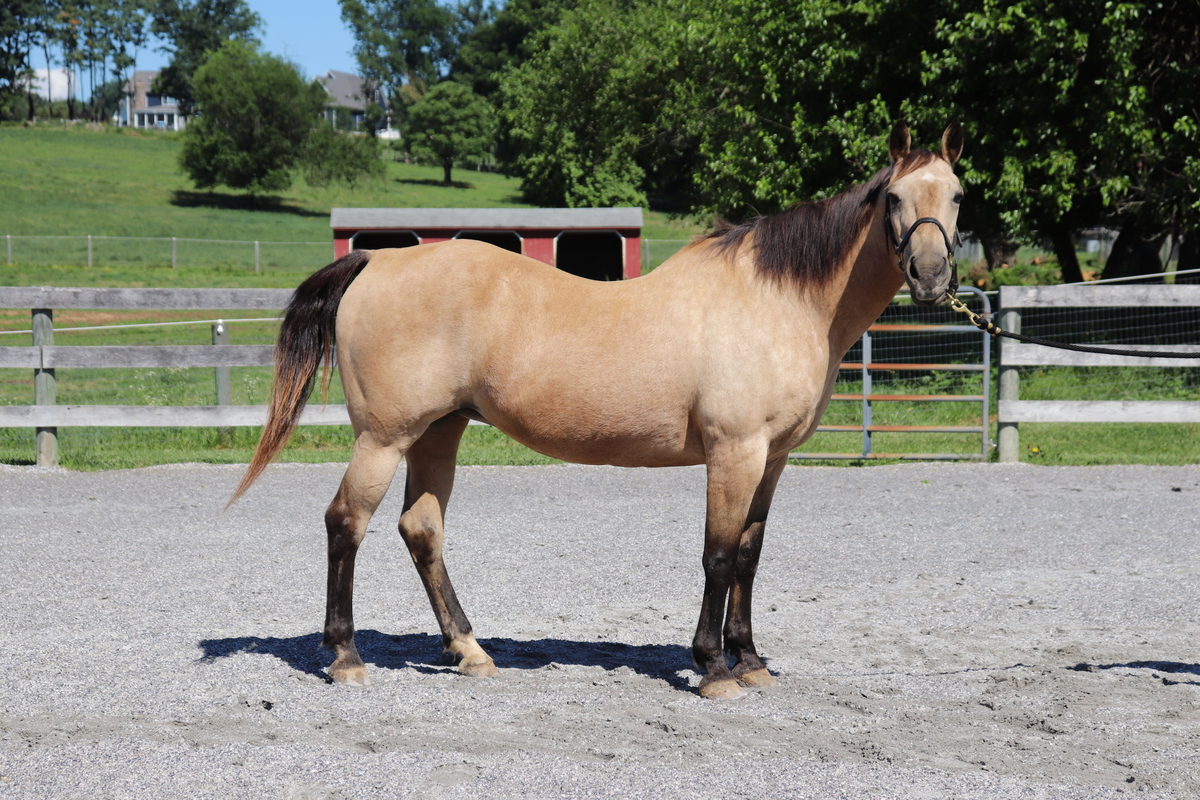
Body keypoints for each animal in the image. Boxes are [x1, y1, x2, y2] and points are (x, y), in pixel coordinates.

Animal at [231, 121, 965, 700]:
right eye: (894, 197)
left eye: (958, 195)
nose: (931, 276)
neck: (776, 300)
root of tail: (375, 262)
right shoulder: (734, 453)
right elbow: (718, 555)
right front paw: (713, 668)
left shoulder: (773, 459)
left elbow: (750, 556)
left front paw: (751, 661)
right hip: (383, 438)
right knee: (345, 523)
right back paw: (346, 656)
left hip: (439, 432)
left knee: (421, 530)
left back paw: (469, 651)